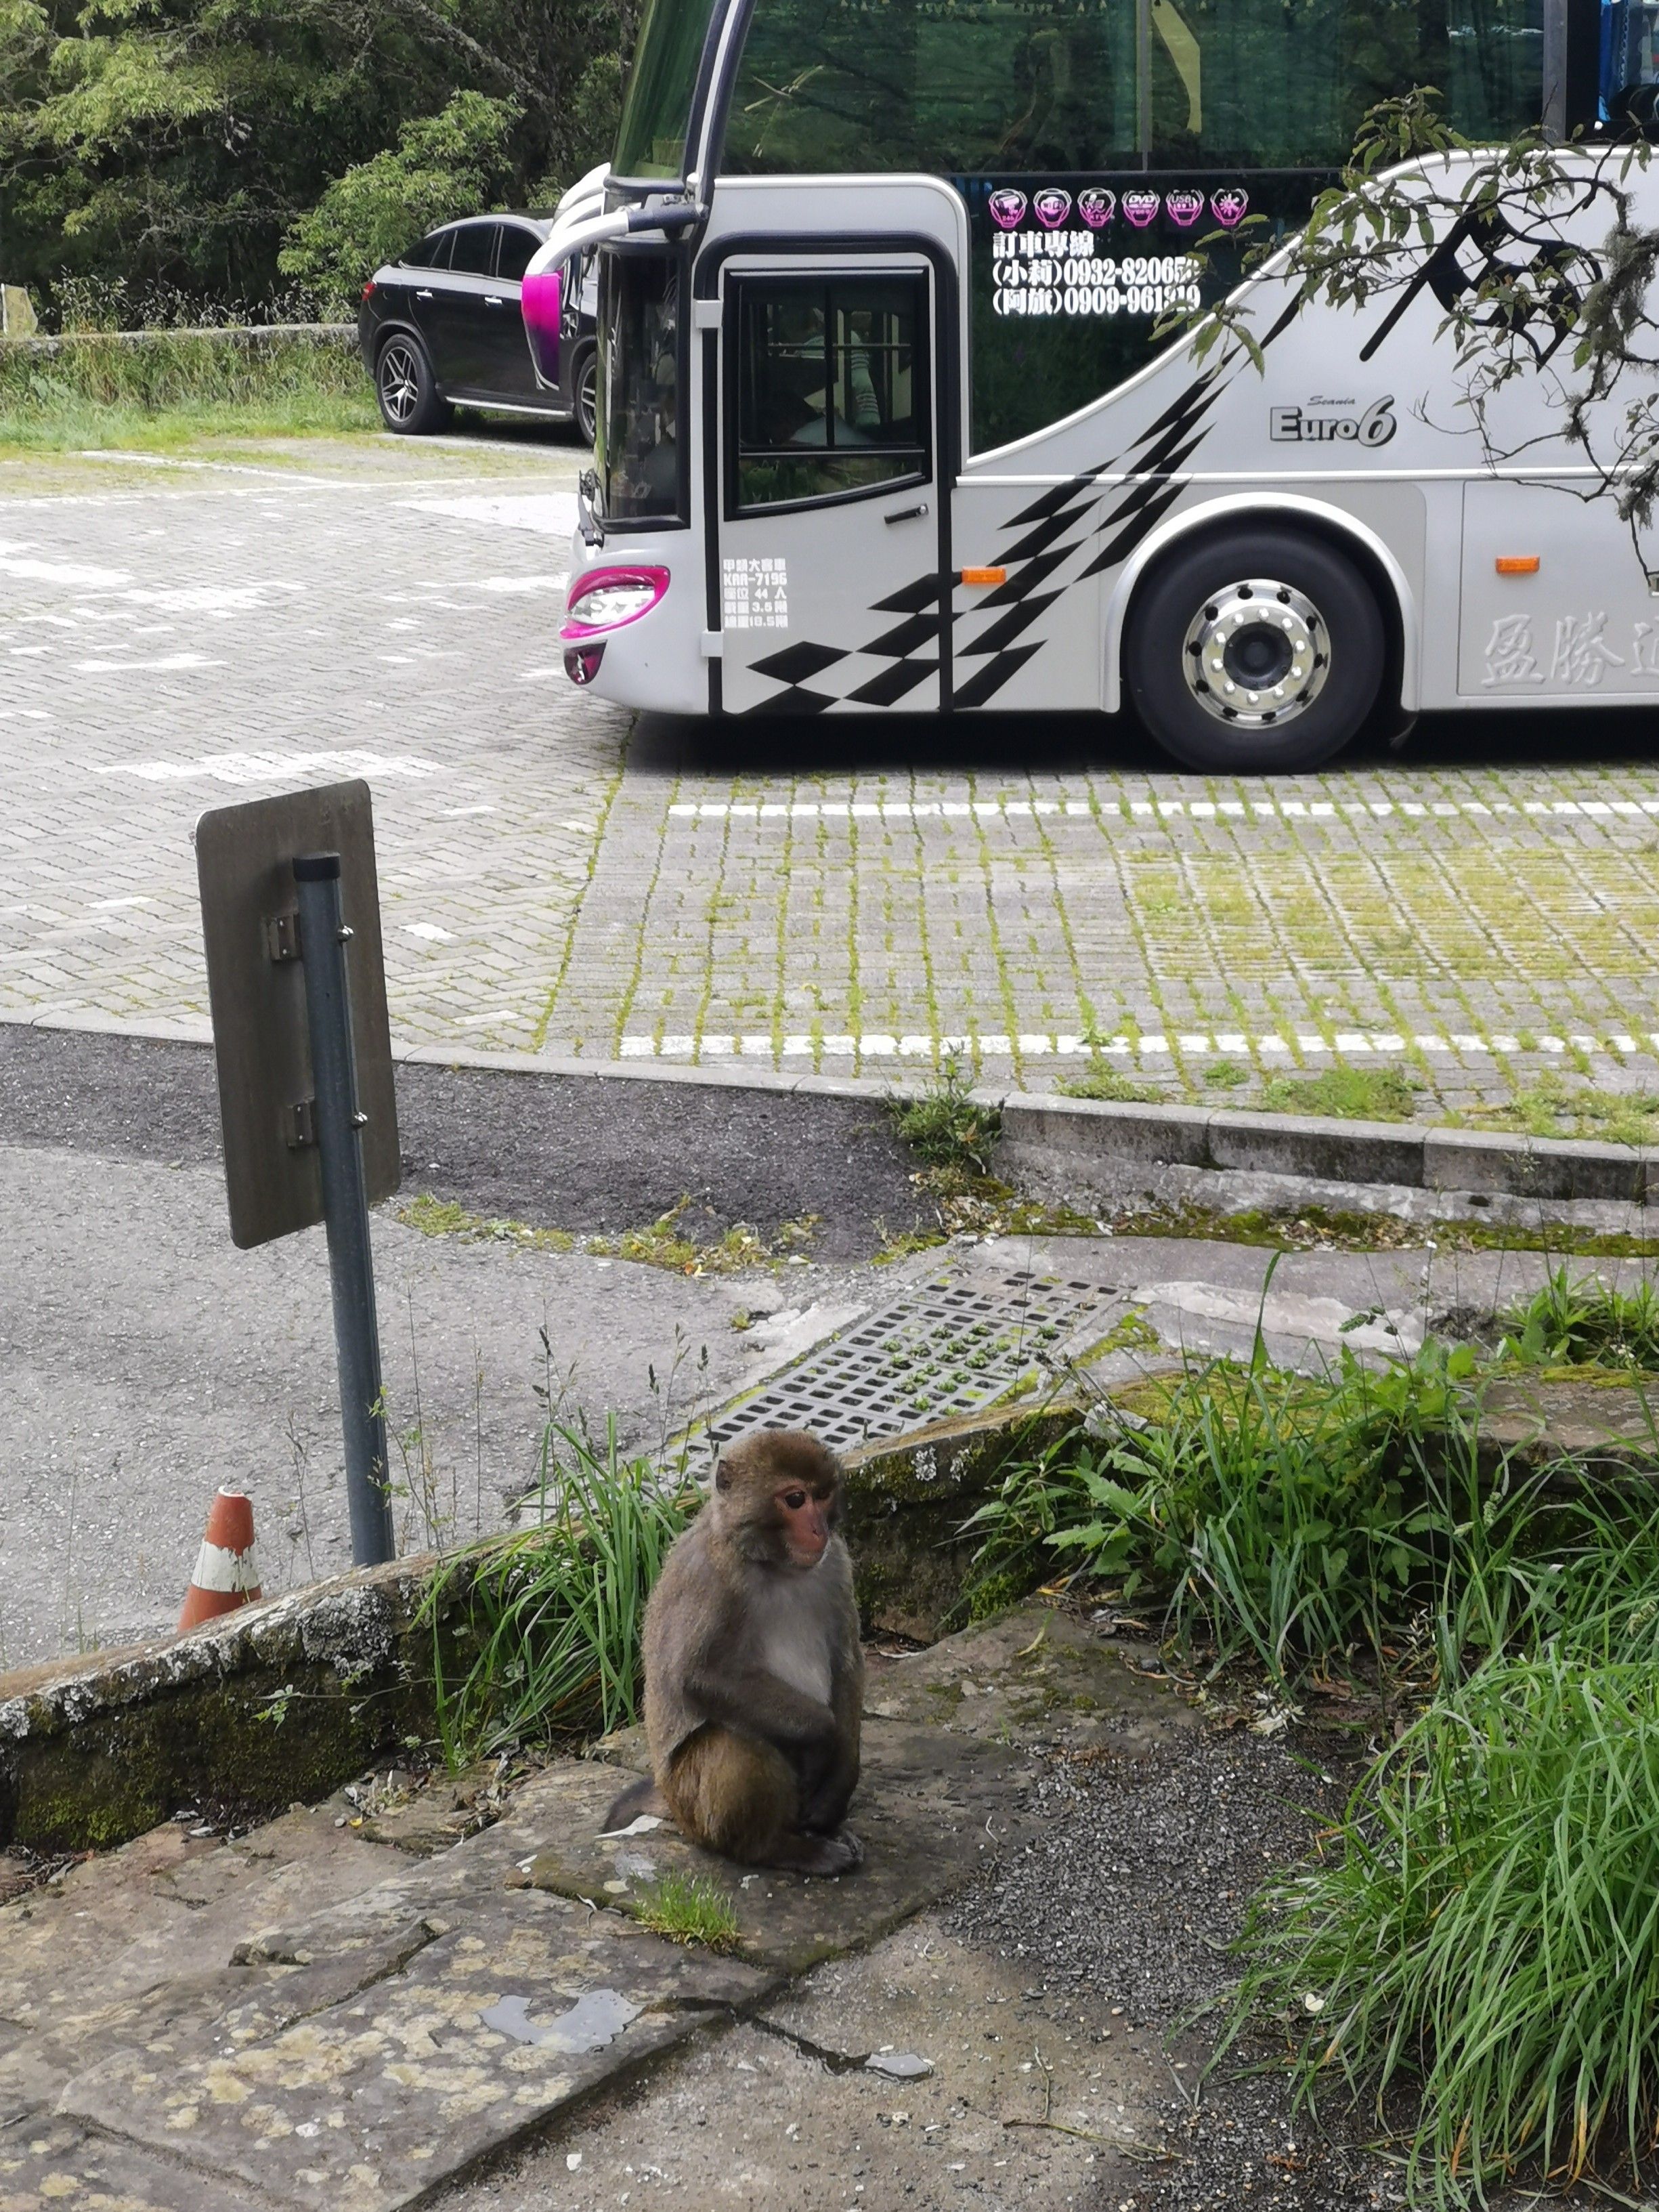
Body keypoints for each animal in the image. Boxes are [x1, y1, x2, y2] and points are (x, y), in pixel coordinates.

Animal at [603, 1430, 864, 1876]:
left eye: (822, 1495)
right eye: (796, 1499)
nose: (818, 1530)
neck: (772, 1564)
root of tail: (669, 1800)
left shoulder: (836, 1567)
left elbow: (846, 1662)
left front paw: (840, 1780)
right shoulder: (713, 1578)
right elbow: (698, 1676)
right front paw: (822, 1735)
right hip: (691, 1802)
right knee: (734, 1746)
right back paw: (780, 1848)